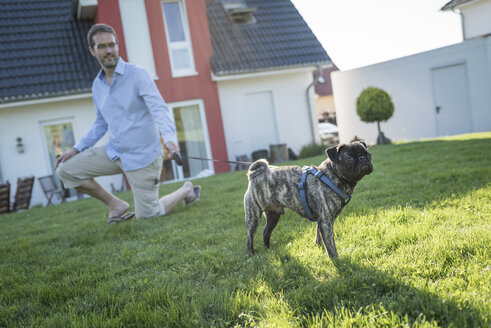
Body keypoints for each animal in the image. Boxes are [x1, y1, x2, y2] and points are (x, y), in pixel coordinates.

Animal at [244, 140, 374, 258]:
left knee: (266, 232)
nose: (363, 158)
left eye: (369, 155)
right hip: (253, 217)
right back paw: (251, 254)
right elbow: (330, 244)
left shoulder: (322, 221)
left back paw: (269, 249)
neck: (330, 176)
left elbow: (319, 236)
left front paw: (318, 246)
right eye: (349, 158)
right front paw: (335, 260)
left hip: (273, 216)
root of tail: (255, 174)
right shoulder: (326, 222)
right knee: (250, 236)